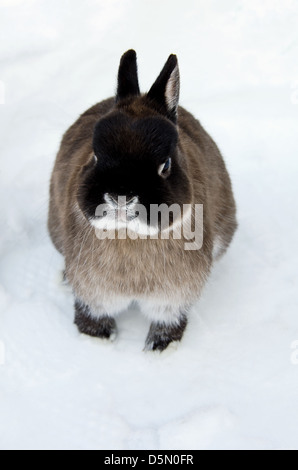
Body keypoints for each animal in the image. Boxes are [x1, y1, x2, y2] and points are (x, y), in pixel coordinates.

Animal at [47, 50, 236, 352]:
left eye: (166, 165)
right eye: (95, 156)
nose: (120, 196)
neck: (129, 235)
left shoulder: (173, 298)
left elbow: (168, 320)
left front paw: (160, 349)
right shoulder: (93, 293)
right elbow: (90, 310)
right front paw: (97, 339)